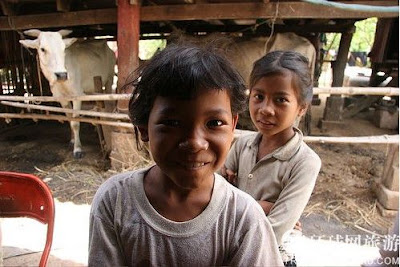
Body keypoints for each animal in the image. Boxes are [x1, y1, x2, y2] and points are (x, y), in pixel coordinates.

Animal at [20, 29, 115, 159]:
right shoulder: (62, 98)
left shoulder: (77, 95)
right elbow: (69, 119)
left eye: (63, 49)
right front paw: (72, 140)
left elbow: (75, 122)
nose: (61, 75)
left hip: (110, 79)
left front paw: (78, 149)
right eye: (43, 49)